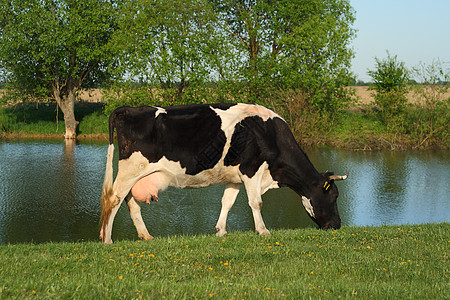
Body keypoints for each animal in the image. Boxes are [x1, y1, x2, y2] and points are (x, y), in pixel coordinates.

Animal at [99, 103, 348, 244]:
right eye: (334, 195)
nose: (337, 225)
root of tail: (131, 108)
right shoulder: (252, 169)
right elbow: (255, 202)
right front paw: (263, 231)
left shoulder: (236, 177)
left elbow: (227, 202)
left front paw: (220, 231)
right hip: (131, 169)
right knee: (114, 199)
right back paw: (107, 239)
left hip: (136, 175)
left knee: (131, 203)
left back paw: (145, 235)